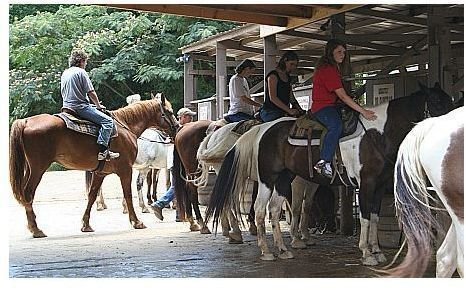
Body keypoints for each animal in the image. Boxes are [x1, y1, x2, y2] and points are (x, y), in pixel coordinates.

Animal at [9, 97, 177, 238]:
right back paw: (36, 229)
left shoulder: (100, 173)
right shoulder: (126, 170)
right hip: (38, 168)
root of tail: (26, 121)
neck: (125, 126)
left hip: (29, 169)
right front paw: (136, 222)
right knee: (28, 193)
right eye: (169, 112)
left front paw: (86, 224)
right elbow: (128, 194)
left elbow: (91, 195)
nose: (177, 127)